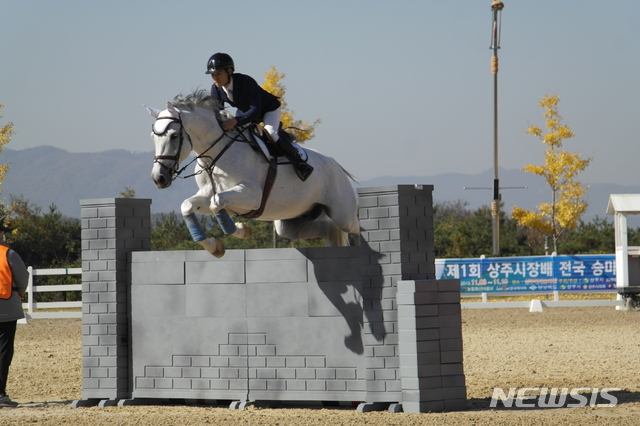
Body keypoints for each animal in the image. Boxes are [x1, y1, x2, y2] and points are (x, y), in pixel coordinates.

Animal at [147, 90, 362, 256]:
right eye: (152, 137)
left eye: (174, 135)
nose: (159, 179)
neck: (216, 156)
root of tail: (336, 166)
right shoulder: (209, 194)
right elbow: (188, 205)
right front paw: (218, 245)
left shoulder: (252, 195)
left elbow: (217, 202)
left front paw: (239, 230)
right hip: (290, 220)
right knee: (321, 230)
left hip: (343, 215)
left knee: (354, 230)